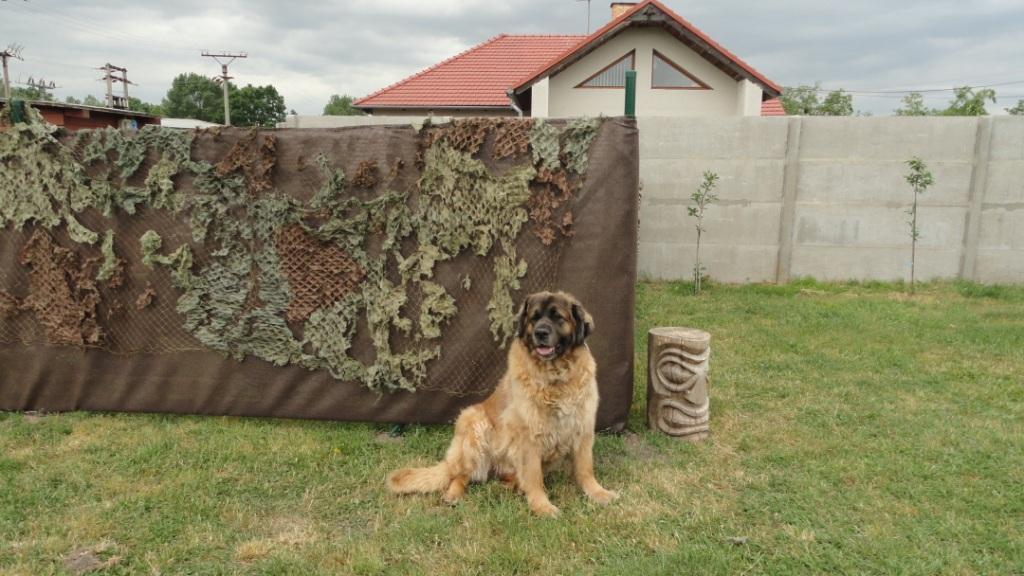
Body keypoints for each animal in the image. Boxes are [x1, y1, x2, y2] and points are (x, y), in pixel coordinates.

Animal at [387, 289, 618, 512]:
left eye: (557, 317)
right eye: (534, 318)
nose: (540, 333)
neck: (555, 377)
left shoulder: (582, 429)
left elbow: (585, 469)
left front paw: (598, 493)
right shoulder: (528, 437)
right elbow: (534, 477)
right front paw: (542, 506)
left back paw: (512, 485)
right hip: (474, 423)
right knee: (461, 474)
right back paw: (454, 494)